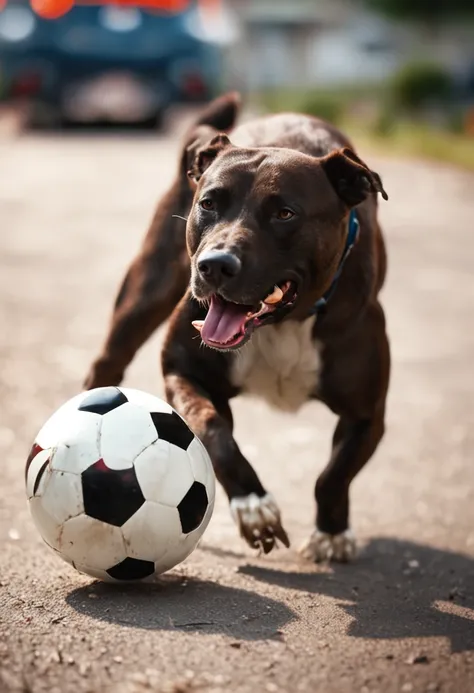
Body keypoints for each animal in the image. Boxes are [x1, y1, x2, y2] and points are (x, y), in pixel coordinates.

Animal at [85, 92, 388, 564]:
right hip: (143, 296)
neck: (285, 323)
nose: (215, 265)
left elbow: (334, 475)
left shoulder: (367, 413)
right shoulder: (184, 371)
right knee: (108, 362)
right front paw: (253, 507)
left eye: (285, 213)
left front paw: (332, 533)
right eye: (209, 203)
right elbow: (214, 431)